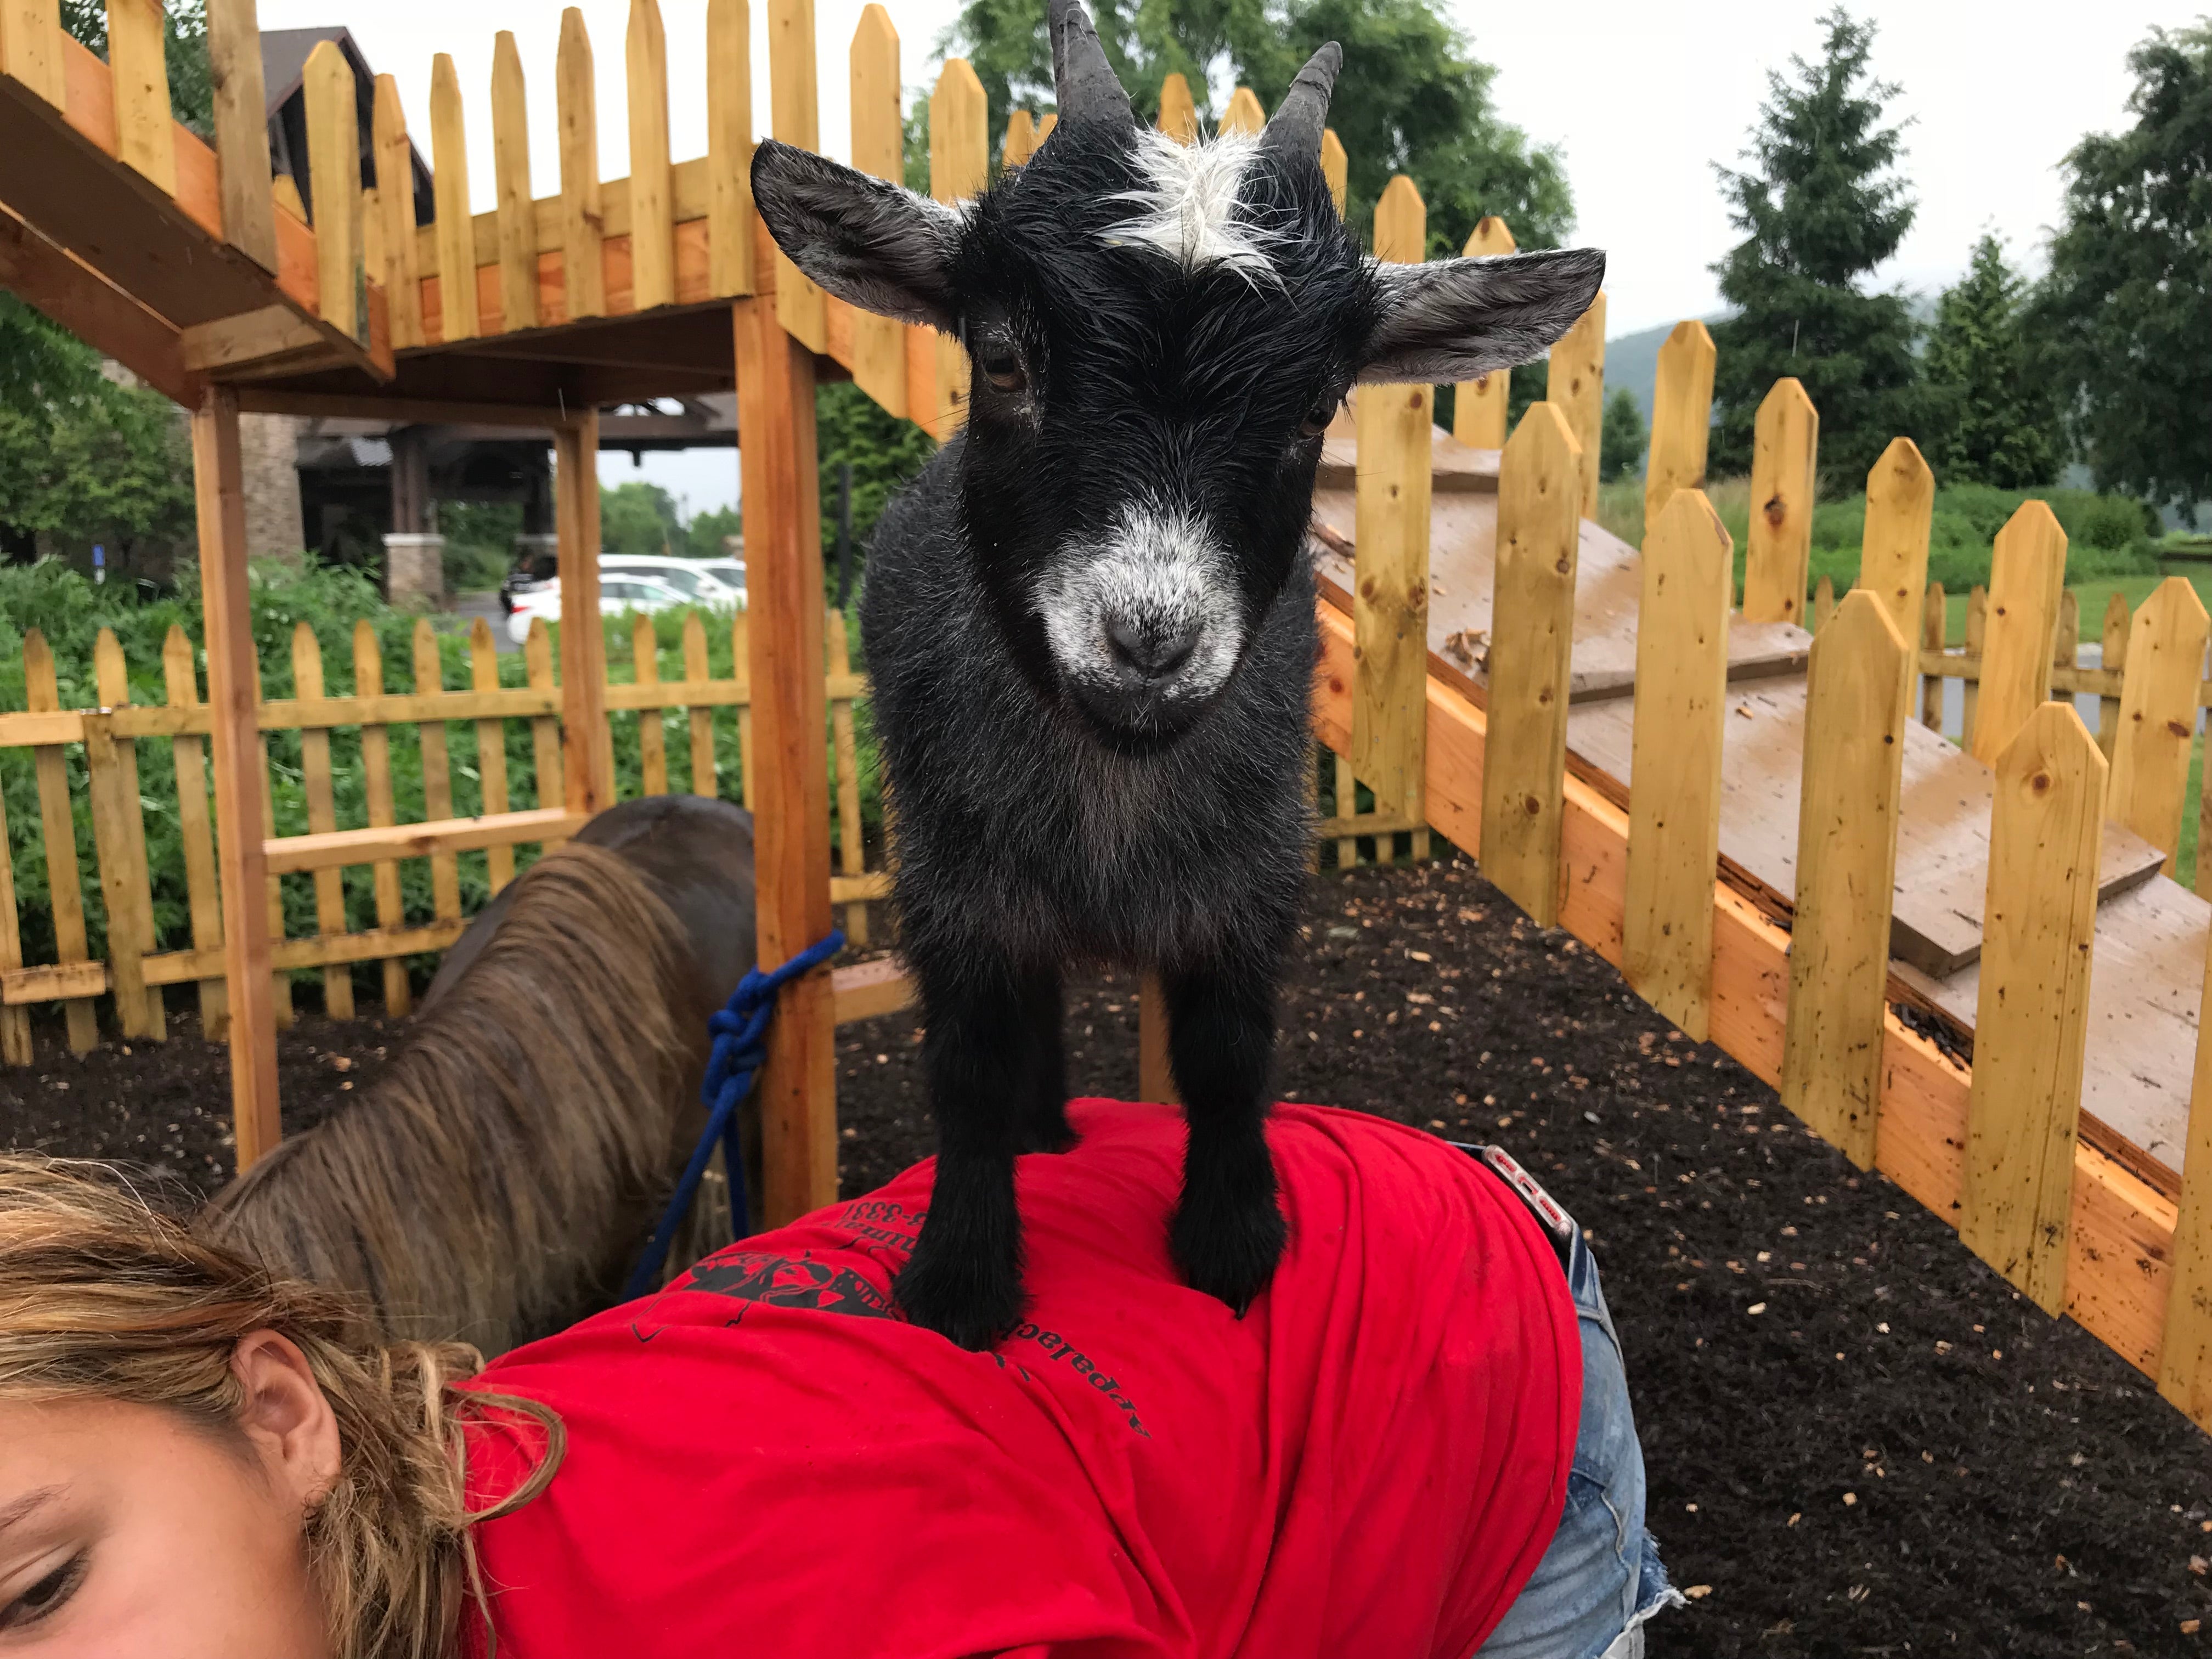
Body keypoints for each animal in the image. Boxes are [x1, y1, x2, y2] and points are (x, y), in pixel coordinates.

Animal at [753, 0, 1604, 1350]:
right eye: (1001, 359)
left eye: (1316, 406)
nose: (1148, 640)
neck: (1112, 794)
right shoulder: (955, 882)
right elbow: (970, 1064)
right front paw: (963, 1277)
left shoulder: (1246, 877)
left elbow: (1225, 1052)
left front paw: (1232, 1237)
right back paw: (1047, 1134)